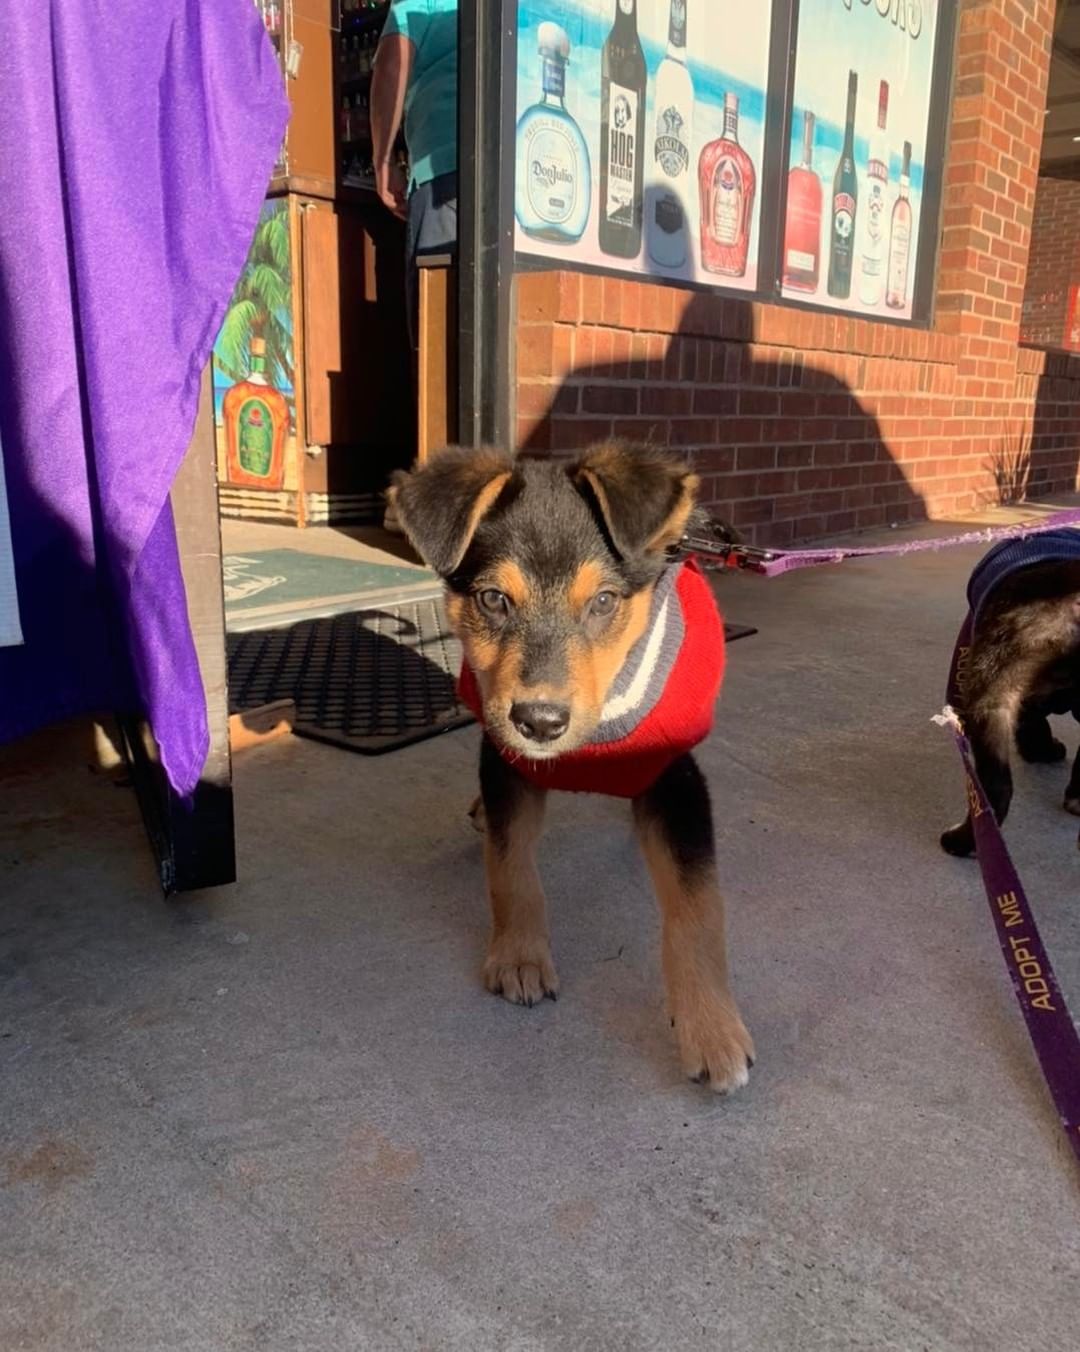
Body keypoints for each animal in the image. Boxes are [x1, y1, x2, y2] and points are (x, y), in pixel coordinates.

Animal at [391, 438, 756, 1092]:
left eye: (605, 602)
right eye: (493, 599)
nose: (540, 721)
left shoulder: (677, 779)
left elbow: (698, 910)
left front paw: (713, 1030)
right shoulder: (505, 761)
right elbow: (511, 868)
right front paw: (519, 956)